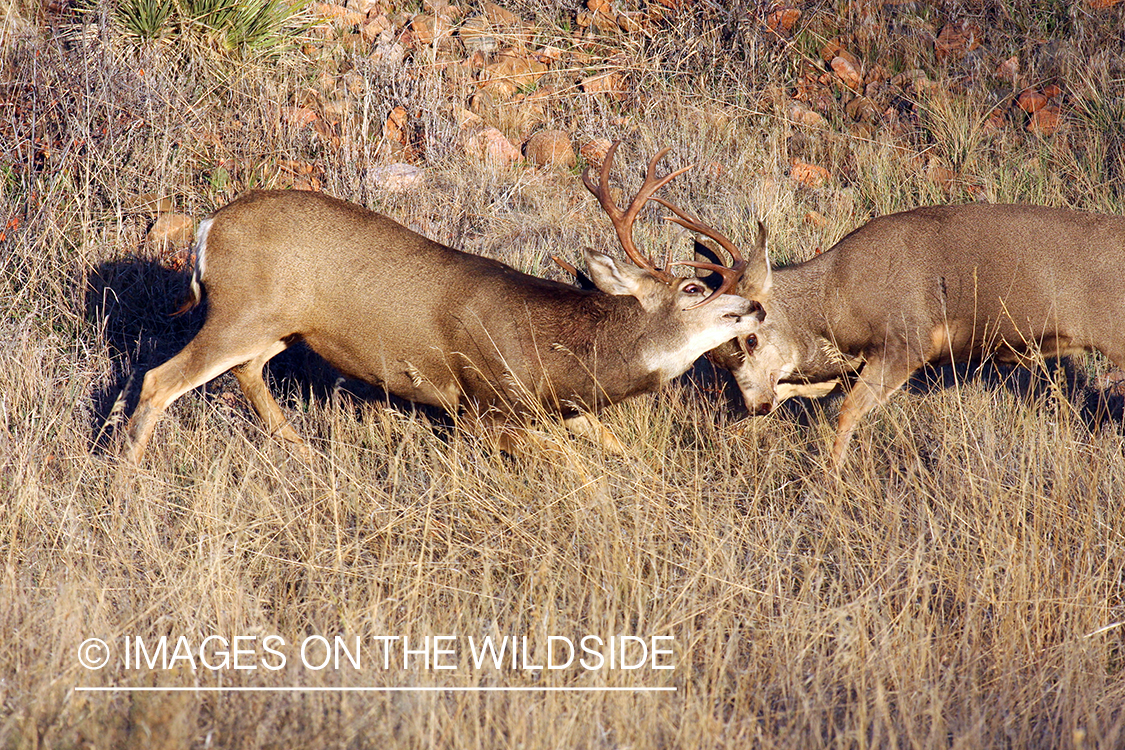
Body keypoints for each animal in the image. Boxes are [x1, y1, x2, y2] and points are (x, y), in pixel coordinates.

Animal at [125, 145, 765, 463]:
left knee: (249, 374)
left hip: (277, 327)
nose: (756, 309)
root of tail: (207, 227)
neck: (563, 355)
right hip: (240, 312)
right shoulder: (484, 404)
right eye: (694, 290)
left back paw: (303, 455)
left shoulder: (555, 408)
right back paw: (126, 480)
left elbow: (609, 447)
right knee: (160, 380)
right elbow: (574, 468)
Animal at [702, 202, 1125, 465]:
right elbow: (800, 389)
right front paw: (730, 434)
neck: (838, 296)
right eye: (716, 359)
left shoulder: (907, 340)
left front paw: (831, 479)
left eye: (750, 339)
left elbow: (847, 410)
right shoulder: (858, 359)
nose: (755, 405)